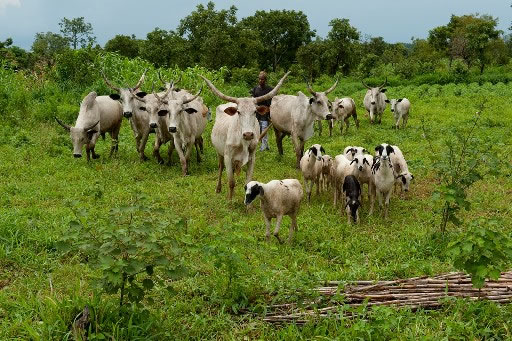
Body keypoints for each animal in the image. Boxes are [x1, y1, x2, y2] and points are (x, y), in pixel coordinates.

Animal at [200, 71, 290, 199]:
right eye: (238, 112)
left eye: (255, 111)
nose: (248, 134)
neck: (243, 142)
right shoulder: (228, 157)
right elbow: (231, 182)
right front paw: (229, 200)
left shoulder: (252, 158)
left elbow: (248, 182)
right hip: (219, 152)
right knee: (220, 168)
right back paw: (218, 188)